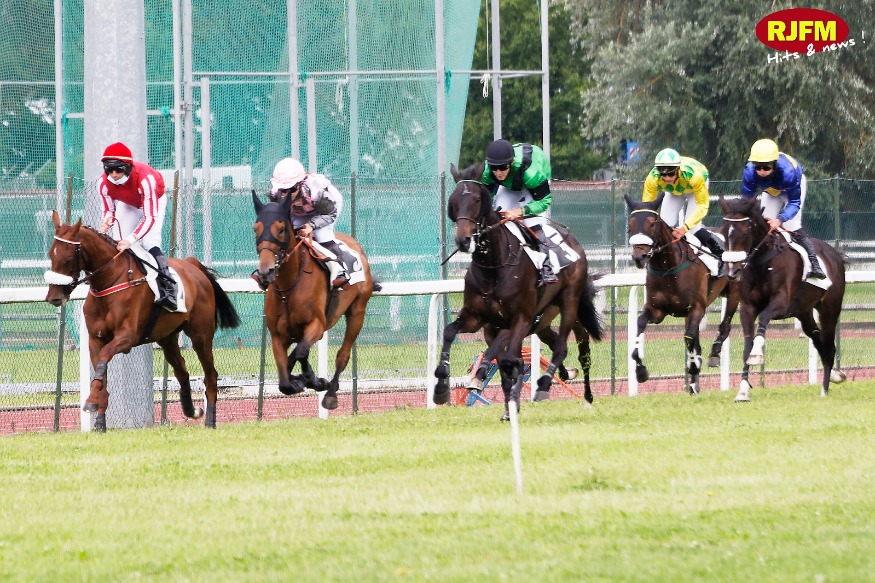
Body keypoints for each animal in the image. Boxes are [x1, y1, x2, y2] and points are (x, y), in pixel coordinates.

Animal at [44, 211, 241, 431]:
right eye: (51, 254)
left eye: (69, 257)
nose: (54, 297)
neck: (110, 282)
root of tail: (193, 265)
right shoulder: (95, 340)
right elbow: (101, 375)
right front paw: (99, 422)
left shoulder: (127, 338)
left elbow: (104, 358)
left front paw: (91, 401)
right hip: (167, 339)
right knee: (182, 371)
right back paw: (192, 410)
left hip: (201, 335)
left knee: (211, 375)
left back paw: (210, 421)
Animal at [252, 192, 376, 408]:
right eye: (255, 229)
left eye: (281, 229)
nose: (266, 272)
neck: (288, 288)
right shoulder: (277, 335)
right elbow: (285, 380)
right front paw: (301, 379)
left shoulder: (317, 324)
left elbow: (299, 353)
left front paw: (310, 380)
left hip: (357, 311)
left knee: (342, 355)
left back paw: (330, 394)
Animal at [433, 163, 604, 419]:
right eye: (453, 201)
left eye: (476, 200)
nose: (463, 240)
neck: (493, 267)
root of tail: (573, 242)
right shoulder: (477, 317)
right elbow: (449, 332)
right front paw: (441, 386)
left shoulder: (520, 319)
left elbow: (508, 360)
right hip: (543, 321)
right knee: (555, 344)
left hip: (570, 303)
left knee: (567, 348)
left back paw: (563, 391)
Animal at [625, 193, 740, 394]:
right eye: (629, 225)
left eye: (652, 223)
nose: (639, 257)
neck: (669, 267)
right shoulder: (656, 310)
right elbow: (639, 324)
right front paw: (640, 370)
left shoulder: (697, 308)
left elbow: (689, 338)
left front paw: (693, 366)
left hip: (733, 293)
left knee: (724, 327)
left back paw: (713, 355)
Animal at [718, 195, 848, 400]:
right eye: (723, 232)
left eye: (745, 232)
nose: (732, 271)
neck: (763, 262)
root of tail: (836, 255)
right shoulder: (747, 307)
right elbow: (747, 346)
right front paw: (743, 391)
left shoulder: (781, 302)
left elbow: (763, 318)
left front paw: (757, 353)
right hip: (804, 312)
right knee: (818, 341)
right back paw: (834, 377)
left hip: (830, 309)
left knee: (829, 346)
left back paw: (824, 390)